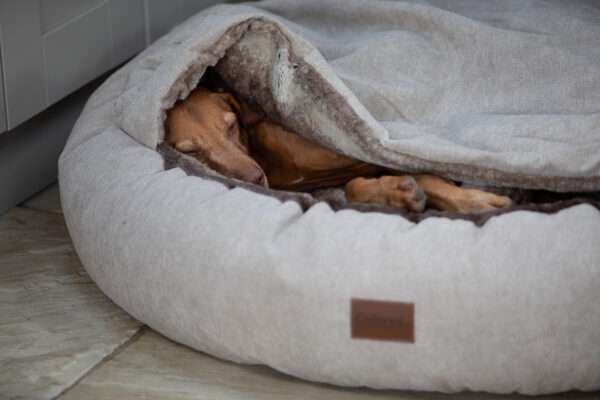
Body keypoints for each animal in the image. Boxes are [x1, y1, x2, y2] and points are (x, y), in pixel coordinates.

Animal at [164, 86, 510, 214]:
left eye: (231, 125)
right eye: (190, 152)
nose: (255, 178)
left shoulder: (360, 148)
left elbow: (422, 171)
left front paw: (472, 200)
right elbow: (353, 188)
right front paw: (396, 193)